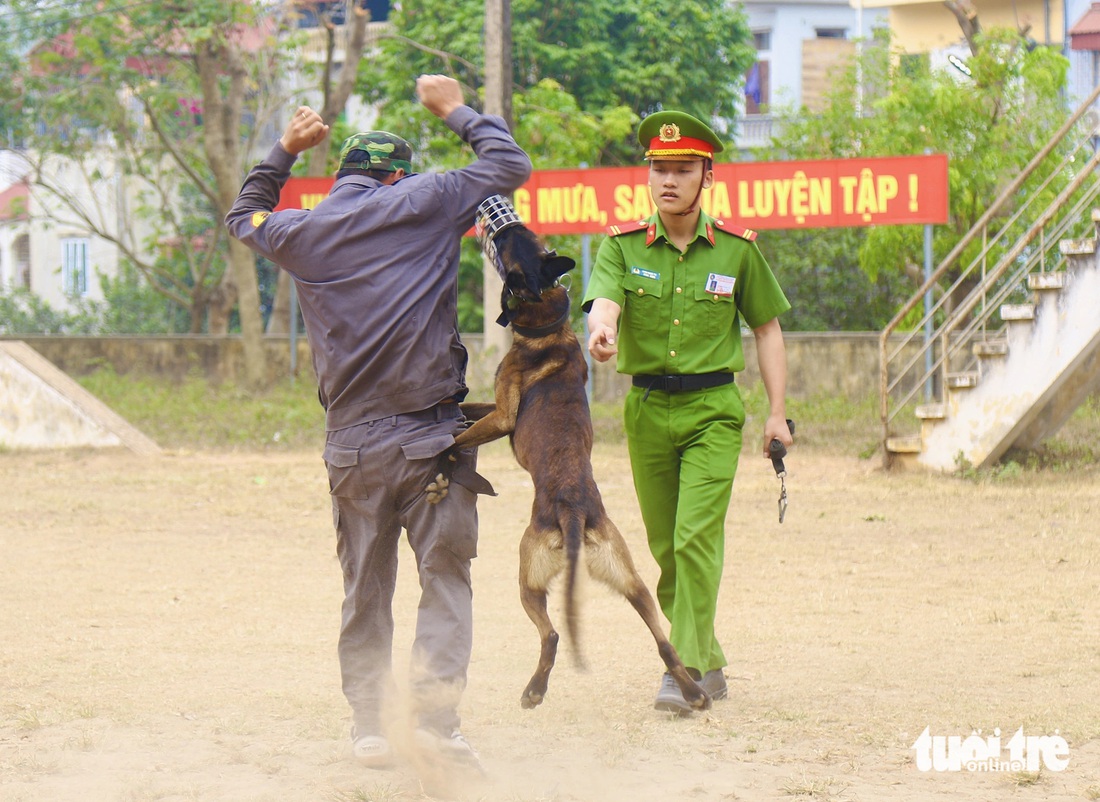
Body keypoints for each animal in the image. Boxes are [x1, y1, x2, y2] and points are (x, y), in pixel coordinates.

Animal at [424, 222, 708, 708]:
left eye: (511, 244)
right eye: (530, 237)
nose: (503, 225)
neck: (548, 325)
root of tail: (573, 509)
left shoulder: (503, 416)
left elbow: (459, 438)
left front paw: (443, 462)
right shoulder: (493, 410)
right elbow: (464, 413)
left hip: (527, 578)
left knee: (552, 635)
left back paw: (534, 691)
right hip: (632, 582)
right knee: (663, 640)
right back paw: (692, 693)